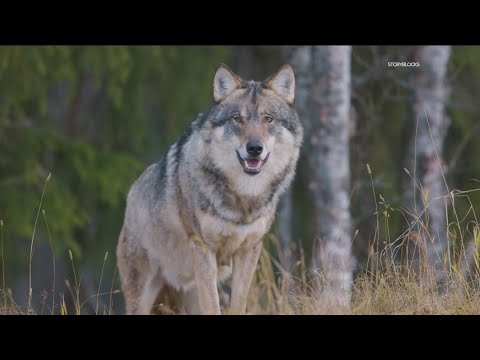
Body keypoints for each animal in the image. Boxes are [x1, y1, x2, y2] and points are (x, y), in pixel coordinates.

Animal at [116, 63, 302, 314]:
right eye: (237, 119)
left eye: (268, 119)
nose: (254, 148)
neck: (242, 198)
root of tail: (131, 195)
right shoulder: (203, 248)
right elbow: (213, 305)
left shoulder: (249, 251)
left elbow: (238, 304)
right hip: (143, 296)